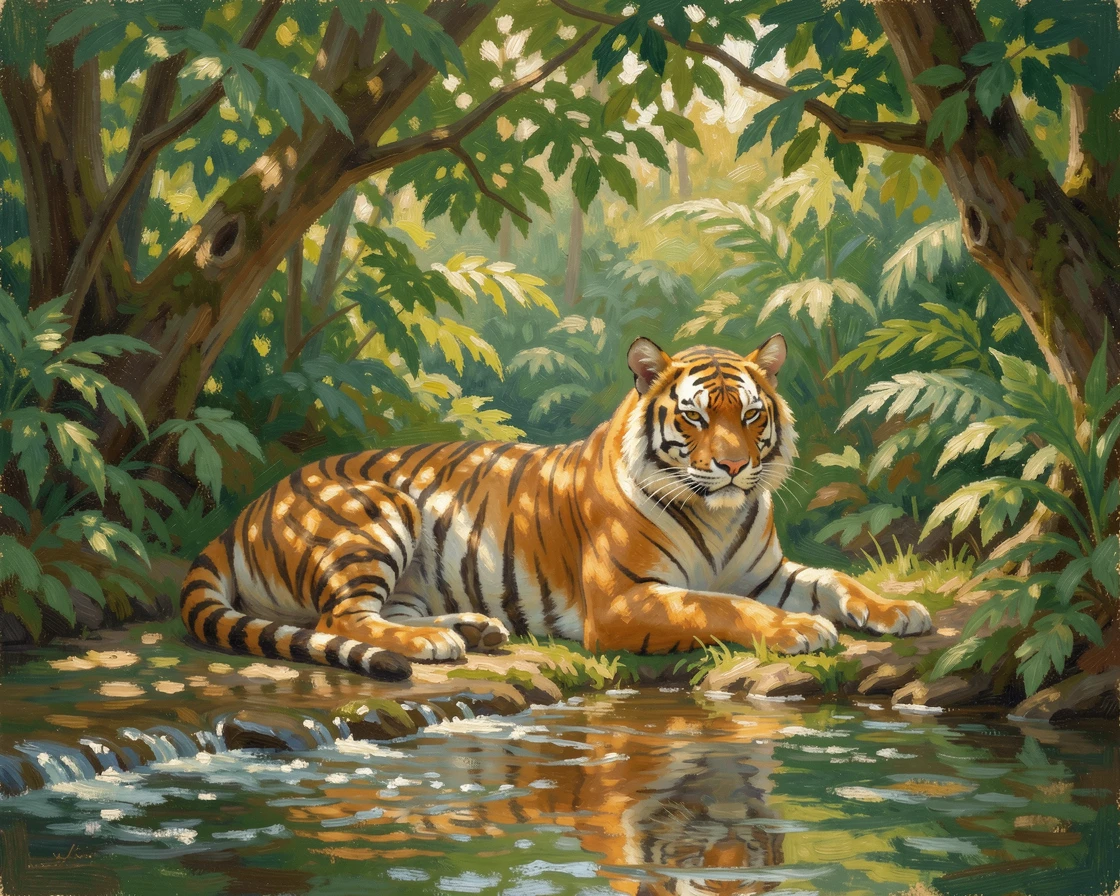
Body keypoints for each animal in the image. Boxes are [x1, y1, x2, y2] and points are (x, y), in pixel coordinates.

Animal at [180, 334, 932, 680]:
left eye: (749, 416)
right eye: (693, 418)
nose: (733, 466)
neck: (719, 515)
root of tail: (248, 508)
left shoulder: (767, 572)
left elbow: (834, 578)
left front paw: (900, 611)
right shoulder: (627, 599)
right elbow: (720, 607)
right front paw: (800, 630)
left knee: (378, 613)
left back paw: (475, 629)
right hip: (377, 512)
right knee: (342, 618)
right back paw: (433, 646)